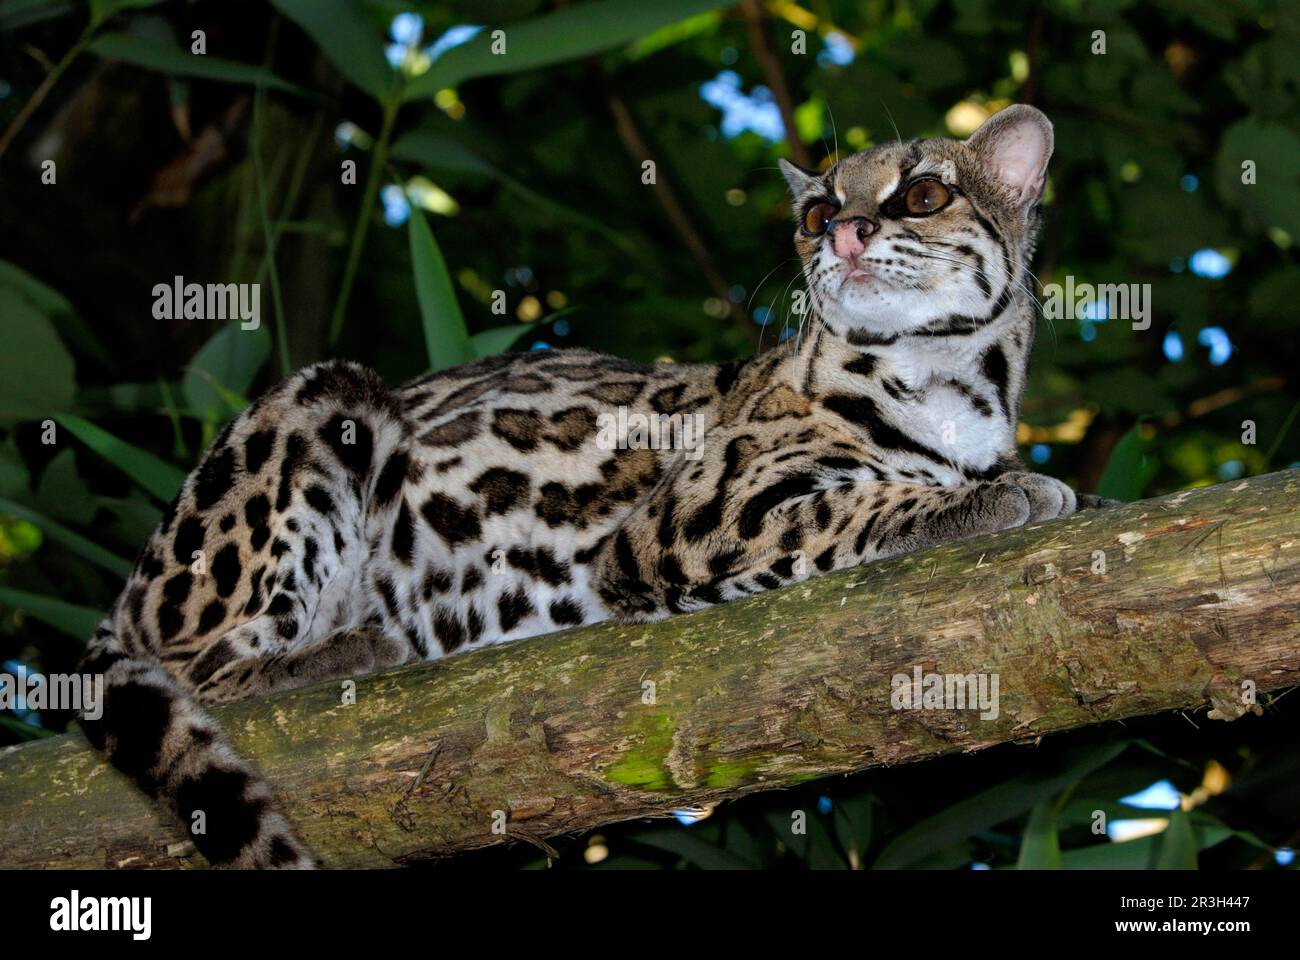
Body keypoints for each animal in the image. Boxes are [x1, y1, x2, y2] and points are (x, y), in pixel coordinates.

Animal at [76, 106, 1102, 868]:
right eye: (815, 212)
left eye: (923, 194)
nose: (844, 230)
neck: (945, 384)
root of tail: (127, 593)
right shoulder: (688, 516)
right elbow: (856, 502)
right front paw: (990, 498)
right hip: (325, 402)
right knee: (201, 663)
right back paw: (347, 648)